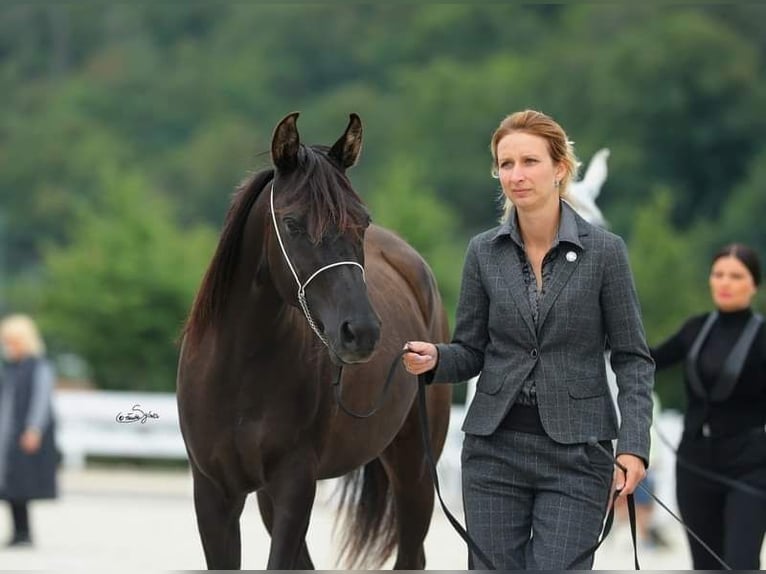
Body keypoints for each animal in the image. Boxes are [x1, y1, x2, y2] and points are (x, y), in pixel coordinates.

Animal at [177, 112, 452, 572]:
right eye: (292, 224)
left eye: (362, 221)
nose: (361, 331)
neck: (239, 367)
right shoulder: (214, 494)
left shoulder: (295, 486)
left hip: (414, 466)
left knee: (411, 553)